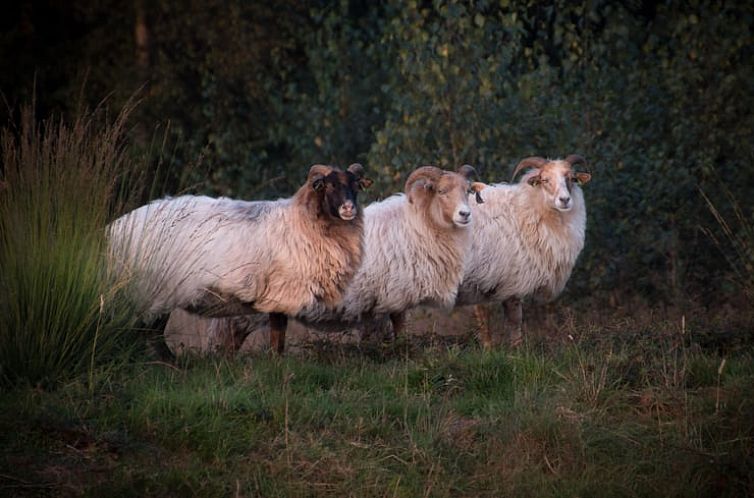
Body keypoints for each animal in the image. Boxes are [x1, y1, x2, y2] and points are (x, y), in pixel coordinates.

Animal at [107, 163, 372, 354]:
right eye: (329, 185)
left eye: (356, 185)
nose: (349, 208)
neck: (305, 221)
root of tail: (116, 227)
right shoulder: (280, 293)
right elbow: (278, 335)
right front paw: (276, 364)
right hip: (152, 290)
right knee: (147, 333)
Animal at [164, 163, 484, 350]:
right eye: (441, 190)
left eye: (468, 191)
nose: (465, 214)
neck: (418, 223)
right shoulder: (393, 297)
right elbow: (398, 331)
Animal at [456, 155, 592, 346]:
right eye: (544, 180)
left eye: (571, 179)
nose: (565, 200)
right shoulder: (500, 279)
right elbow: (505, 319)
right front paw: (506, 349)